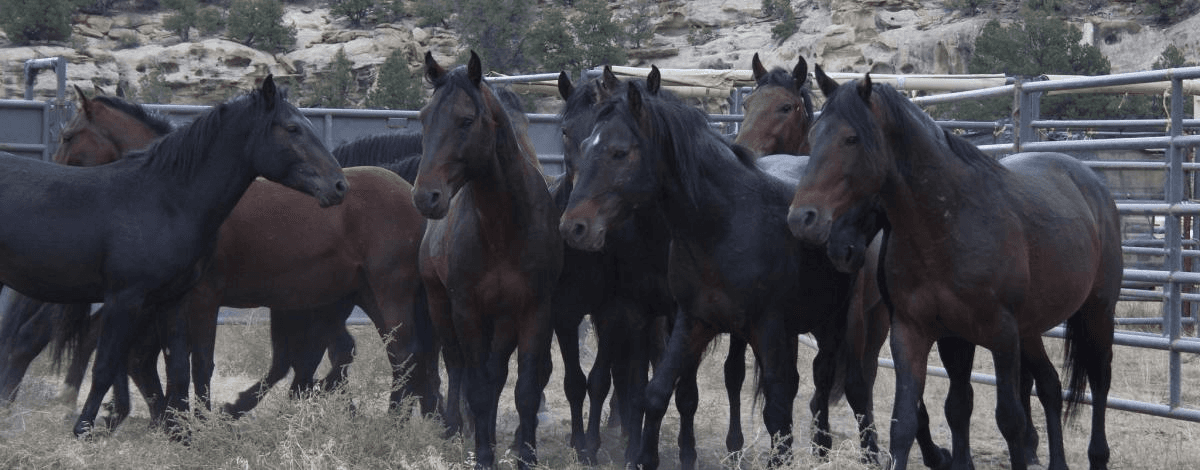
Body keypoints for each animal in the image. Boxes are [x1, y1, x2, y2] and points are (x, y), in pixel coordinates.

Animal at [0, 75, 348, 436]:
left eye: (68, 136)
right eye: (293, 128)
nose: (338, 186)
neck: (164, 199)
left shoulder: (173, 299)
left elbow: (178, 365)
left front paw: (180, 432)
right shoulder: (126, 298)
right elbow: (109, 364)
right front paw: (85, 429)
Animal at [412, 51, 563, 469]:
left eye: (465, 120)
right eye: (424, 117)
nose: (426, 197)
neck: (503, 228)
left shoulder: (535, 309)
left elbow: (525, 389)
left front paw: (525, 454)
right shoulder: (466, 309)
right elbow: (477, 387)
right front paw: (482, 455)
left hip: (503, 320)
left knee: (496, 376)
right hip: (439, 304)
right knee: (456, 365)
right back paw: (453, 428)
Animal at [560, 66, 868, 469]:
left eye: (619, 152)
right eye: (576, 141)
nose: (573, 226)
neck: (722, 223)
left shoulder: (764, 327)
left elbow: (773, 410)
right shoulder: (690, 320)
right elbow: (656, 393)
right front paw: (642, 455)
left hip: (834, 322)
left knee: (824, 380)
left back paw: (822, 446)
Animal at [788, 69, 1119, 470]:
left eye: (851, 139)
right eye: (812, 136)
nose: (803, 219)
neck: (948, 224)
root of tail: (1090, 179)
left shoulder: (1001, 334)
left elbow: (1010, 419)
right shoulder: (922, 333)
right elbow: (917, 418)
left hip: (1097, 313)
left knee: (1099, 382)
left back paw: (1097, 455)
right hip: (1031, 329)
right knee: (1051, 386)